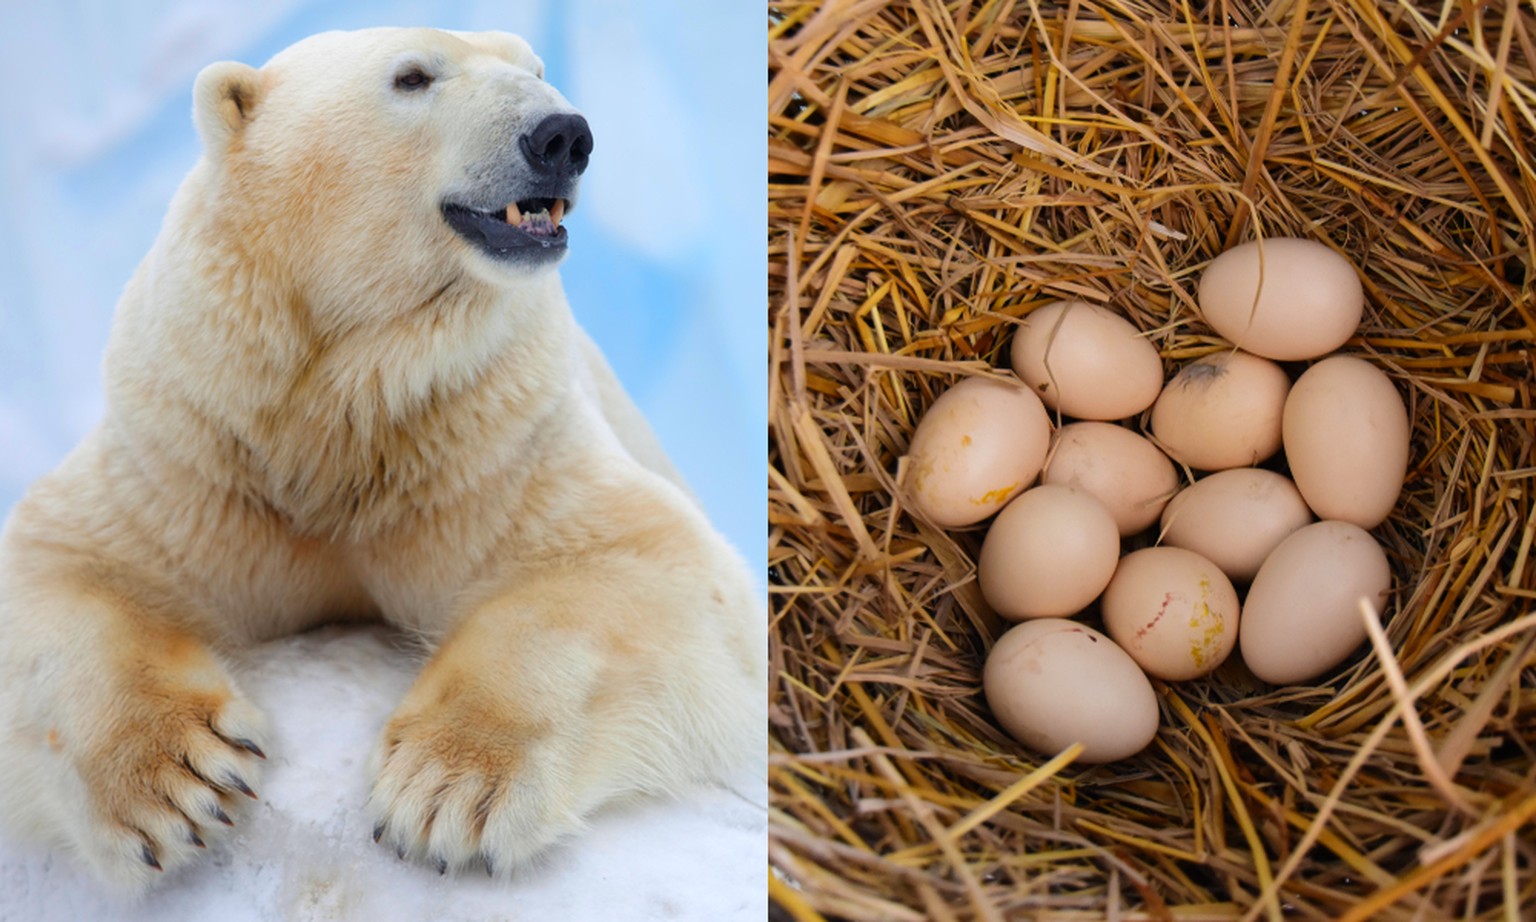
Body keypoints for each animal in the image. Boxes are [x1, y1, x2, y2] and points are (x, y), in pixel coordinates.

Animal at [0, 30, 761, 891]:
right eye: (413, 76)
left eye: (533, 68)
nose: (562, 134)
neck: (348, 399)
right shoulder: (190, 449)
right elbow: (61, 568)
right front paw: (176, 783)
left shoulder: (493, 442)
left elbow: (636, 562)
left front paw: (447, 790)